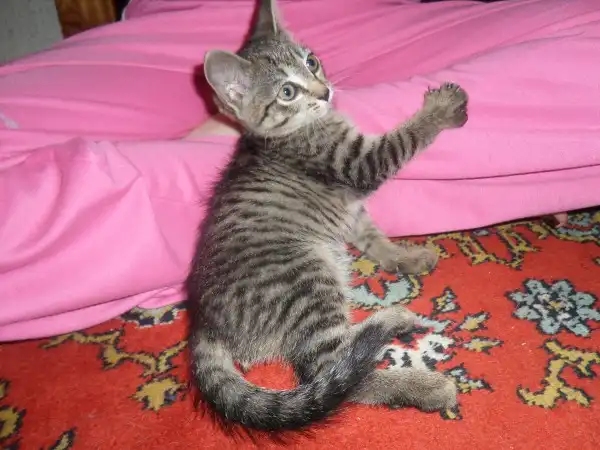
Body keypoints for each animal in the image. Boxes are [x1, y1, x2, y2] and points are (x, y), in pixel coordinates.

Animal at [186, 0, 469, 432]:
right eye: (287, 91)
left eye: (312, 61)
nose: (325, 91)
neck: (299, 129)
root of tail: (204, 322)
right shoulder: (357, 163)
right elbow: (404, 138)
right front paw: (438, 111)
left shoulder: (349, 204)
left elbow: (371, 235)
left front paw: (402, 257)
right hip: (307, 278)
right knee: (336, 375)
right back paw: (423, 383)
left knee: (344, 359)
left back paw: (389, 321)